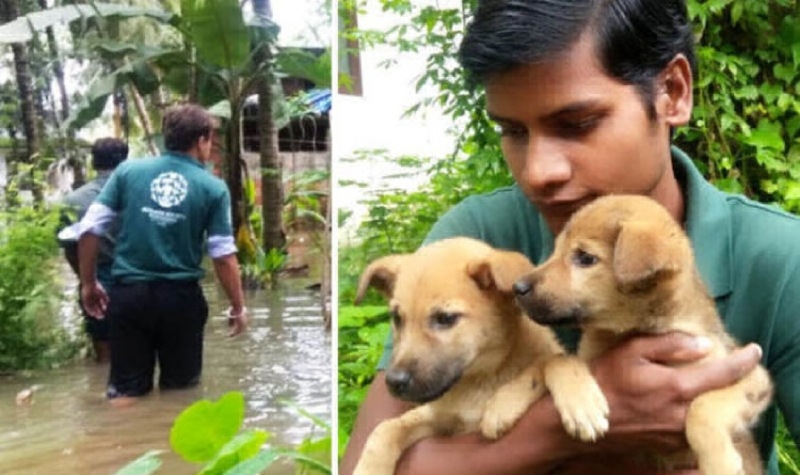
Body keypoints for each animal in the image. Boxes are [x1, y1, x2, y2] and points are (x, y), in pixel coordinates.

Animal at [354, 238, 608, 475]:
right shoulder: (437, 419)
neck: (477, 380)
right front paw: (368, 468)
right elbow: (386, 427)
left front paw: (580, 403)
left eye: (445, 318)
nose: (394, 382)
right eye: (397, 318)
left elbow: (551, 362)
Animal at [512, 194, 776, 475]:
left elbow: (701, 407)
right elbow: (555, 360)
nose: (517, 287)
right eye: (555, 249)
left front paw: (719, 464)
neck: (627, 333)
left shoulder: (750, 376)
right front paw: (577, 406)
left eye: (584, 258)